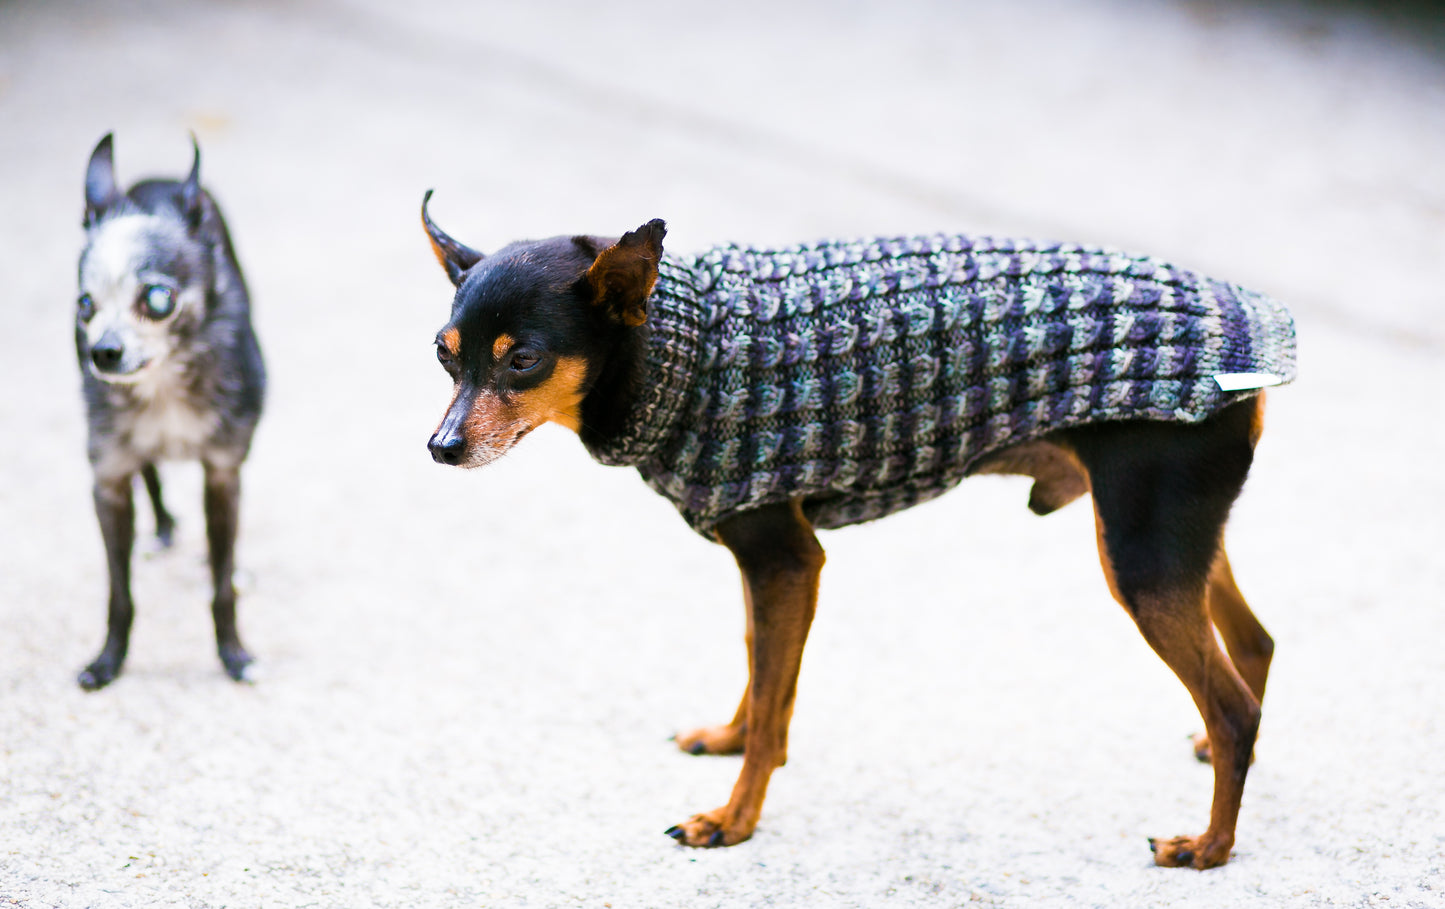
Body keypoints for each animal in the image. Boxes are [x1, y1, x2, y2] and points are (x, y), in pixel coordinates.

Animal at [74, 132, 265, 687]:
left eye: (158, 299)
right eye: (85, 307)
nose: (103, 352)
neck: (163, 387)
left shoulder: (223, 474)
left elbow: (221, 588)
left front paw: (233, 655)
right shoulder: (108, 484)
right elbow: (119, 593)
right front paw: (109, 661)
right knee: (152, 473)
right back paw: (160, 528)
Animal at [419, 187, 1300, 867]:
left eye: (523, 359)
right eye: (444, 354)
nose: (441, 446)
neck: (684, 348)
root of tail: (1249, 351)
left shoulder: (786, 560)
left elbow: (773, 704)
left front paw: (731, 820)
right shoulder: (764, 563)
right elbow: (759, 671)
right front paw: (731, 735)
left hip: (1140, 556)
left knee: (1232, 706)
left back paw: (1209, 846)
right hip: (1172, 539)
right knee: (1254, 643)